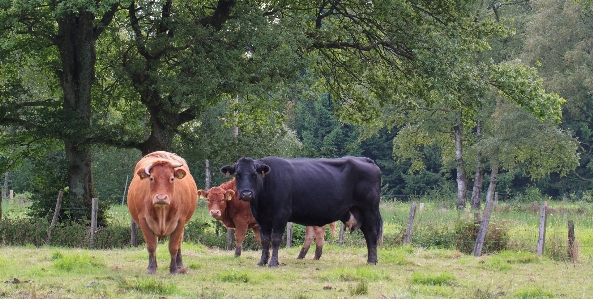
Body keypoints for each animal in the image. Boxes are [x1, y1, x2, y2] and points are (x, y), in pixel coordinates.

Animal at [220, 157, 382, 268]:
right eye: (238, 174)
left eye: (254, 174)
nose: (247, 194)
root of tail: (363, 159)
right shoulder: (261, 218)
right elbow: (265, 240)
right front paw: (262, 261)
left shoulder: (281, 215)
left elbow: (275, 239)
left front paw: (273, 262)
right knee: (368, 235)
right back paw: (372, 260)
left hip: (369, 210)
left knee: (372, 235)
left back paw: (372, 261)